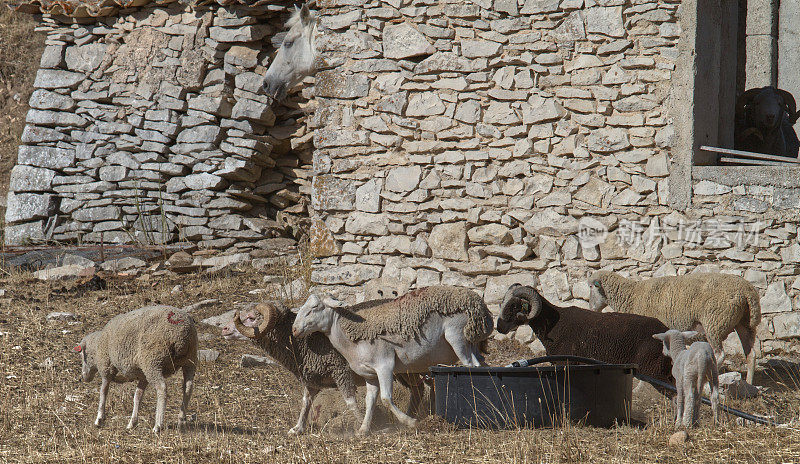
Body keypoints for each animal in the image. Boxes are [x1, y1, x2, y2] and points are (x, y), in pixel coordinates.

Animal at [76, 306, 198, 434]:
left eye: (82, 356)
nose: (83, 377)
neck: (98, 346)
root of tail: (180, 330)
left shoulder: (106, 366)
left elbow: (103, 391)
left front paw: (99, 419)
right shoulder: (143, 375)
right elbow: (137, 396)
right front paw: (132, 422)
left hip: (153, 361)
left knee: (162, 388)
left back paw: (158, 425)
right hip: (190, 360)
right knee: (188, 388)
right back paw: (181, 421)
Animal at [233, 300, 432, 436]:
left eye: (251, 318)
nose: (227, 328)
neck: (302, 343)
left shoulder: (341, 371)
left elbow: (350, 401)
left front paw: (364, 424)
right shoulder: (311, 380)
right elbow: (306, 403)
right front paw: (297, 428)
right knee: (418, 390)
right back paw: (410, 417)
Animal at [290, 286, 494, 436]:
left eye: (315, 308)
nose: (294, 330)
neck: (350, 337)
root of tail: (477, 302)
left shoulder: (385, 365)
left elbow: (386, 399)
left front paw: (411, 422)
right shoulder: (370, 374)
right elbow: (370, 400)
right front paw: (364, 429)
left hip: (457, 336)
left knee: (470, 368)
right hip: (471, 343)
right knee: (481, 366)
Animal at [494, 282, 676, 388]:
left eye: (514, 306)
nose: (499, 327)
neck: (553, 324)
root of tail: (666, 330)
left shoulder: (566, 362)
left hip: (653, 370)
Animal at [588, 270, 764, 382]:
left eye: (591, 287)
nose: (591, 309)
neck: (632, 296)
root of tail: (747, 291)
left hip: (715, 322)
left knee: (719, 354)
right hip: (744, 324)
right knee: (751, 354)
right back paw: (749, 384)